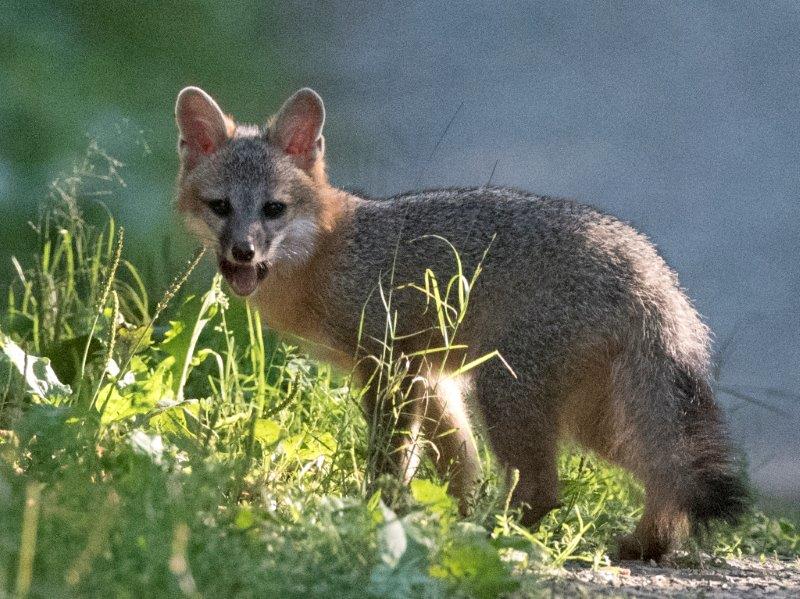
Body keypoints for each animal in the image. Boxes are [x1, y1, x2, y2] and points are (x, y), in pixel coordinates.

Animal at [174, 85, 748, 560]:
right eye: (220, 207)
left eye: (273, 209)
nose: (243, 252)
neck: (329, 254)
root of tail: (649, 269)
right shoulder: (430, 376)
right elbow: (459, 462)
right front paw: (446, 515)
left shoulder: (391, 366)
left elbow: (391, 460)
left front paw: (379, 513)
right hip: (598, 421)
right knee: (665, 476)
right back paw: (645, 544)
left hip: (508, 392)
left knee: (545, 488)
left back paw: (495, 533)